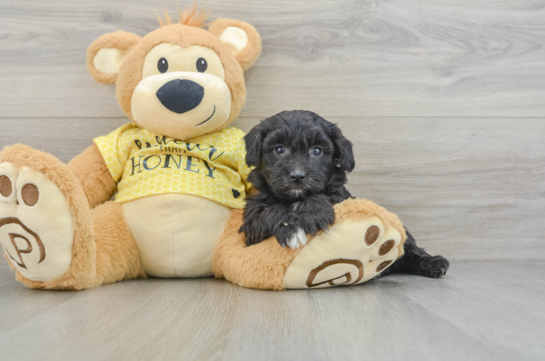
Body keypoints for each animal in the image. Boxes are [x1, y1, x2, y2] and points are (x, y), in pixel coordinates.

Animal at [240, 109, 448, 278]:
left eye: (317, 151)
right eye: (279, 149)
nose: (297, 176)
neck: (296, 197)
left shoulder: (340, 198)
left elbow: (322, 197)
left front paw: (311, 213)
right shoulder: (251, 226)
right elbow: (269, 212)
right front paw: (290, 227)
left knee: (410, 248)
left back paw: (433, 263)